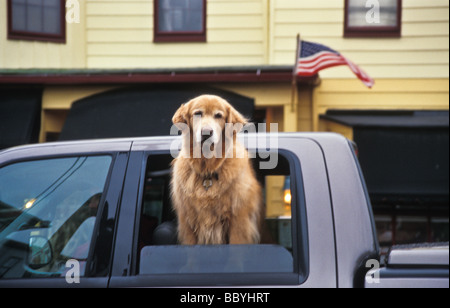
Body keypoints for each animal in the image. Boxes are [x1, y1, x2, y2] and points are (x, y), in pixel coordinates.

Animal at [171, 94, 262, 245]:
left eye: (218, 115)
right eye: (198, 113)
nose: (206, 133)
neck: (207, 169)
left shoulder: (239, 221)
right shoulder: (187, 223)